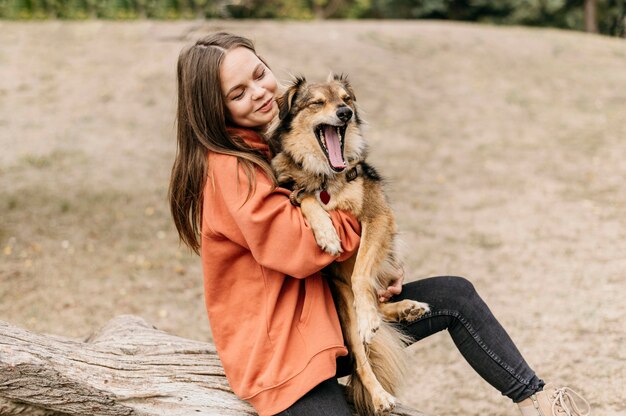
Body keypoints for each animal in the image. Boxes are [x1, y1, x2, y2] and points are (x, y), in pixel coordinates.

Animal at [268, 75, 428, 416]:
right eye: (317, 102)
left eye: (346, 99)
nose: (345, 113)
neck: (327, 175)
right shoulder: (293, 191)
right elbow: (307, 199)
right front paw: (327, 234)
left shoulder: (377, 216)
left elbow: (361, 274)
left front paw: (370, 315)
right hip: (343, 310)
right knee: (361, 361)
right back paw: (380, 397)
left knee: (375, 302)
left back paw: (403, 309)